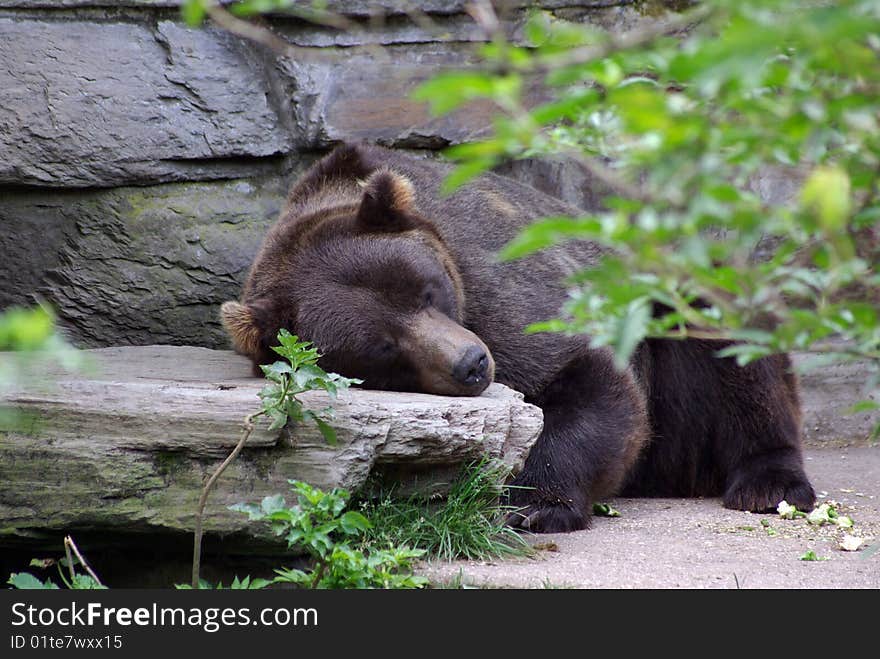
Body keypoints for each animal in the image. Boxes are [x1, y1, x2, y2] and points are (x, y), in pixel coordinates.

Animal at [223, 142, 816, 532]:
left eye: (427, 291)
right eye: (383, 348)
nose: (471, 363)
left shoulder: (494, 278)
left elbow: (584, 378)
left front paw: (534, 504)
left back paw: (768, 484)